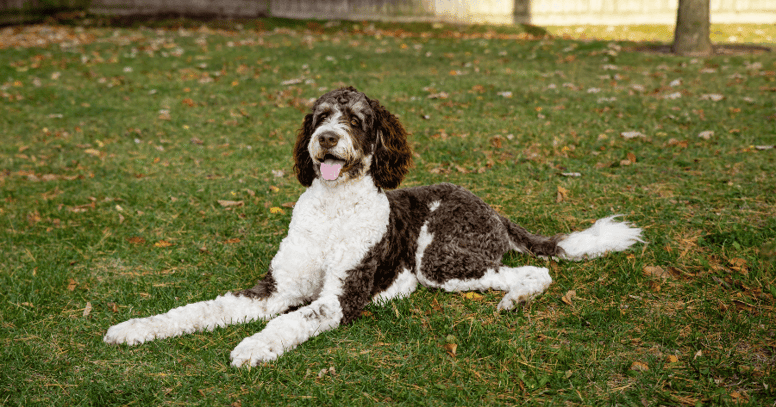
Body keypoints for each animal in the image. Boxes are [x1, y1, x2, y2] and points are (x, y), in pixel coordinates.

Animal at [104, 86, 644, 366]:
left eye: (357, 120)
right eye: (321, 116)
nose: (325, 138)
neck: (331, 211)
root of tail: (490, 207)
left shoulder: (338, 297)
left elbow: (291, 321)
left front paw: (254, 345)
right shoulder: (274, 288)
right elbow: (199, 309)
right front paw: (138, 327)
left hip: (441, 261)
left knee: (531, 273)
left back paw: (513, 298)